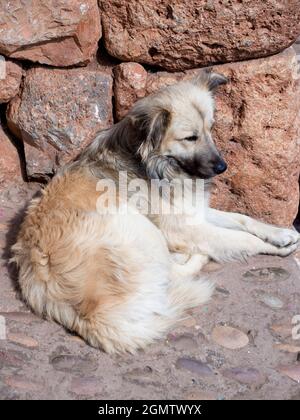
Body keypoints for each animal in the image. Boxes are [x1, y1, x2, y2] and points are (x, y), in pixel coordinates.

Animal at [10, 70, 298, 352]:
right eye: (190, 138)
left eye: (210, 129)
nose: (222, 167)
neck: (153, 164)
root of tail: (88, 315)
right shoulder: (182, 227)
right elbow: (240, 238)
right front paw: (276, 246)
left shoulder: (194, 211)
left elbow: (243, 219)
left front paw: (280, 233)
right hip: (141, 228)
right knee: (171, 273)